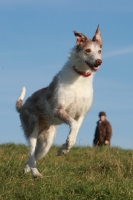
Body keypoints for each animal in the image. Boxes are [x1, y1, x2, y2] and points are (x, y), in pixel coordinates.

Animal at [15, 25, 103, 178]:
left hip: (46, 142)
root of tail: (23, 106)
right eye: (87, 50)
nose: (99, 61)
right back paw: (35, 173)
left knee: (32, 158)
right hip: (32, 128)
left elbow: (75, 130)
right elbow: (73, 124)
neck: (80, 78)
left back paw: (29, 171)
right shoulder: (58, 109)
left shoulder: (81, 114)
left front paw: (64, 148)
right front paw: (65, 146)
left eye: (99, 51)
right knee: (31, 151)